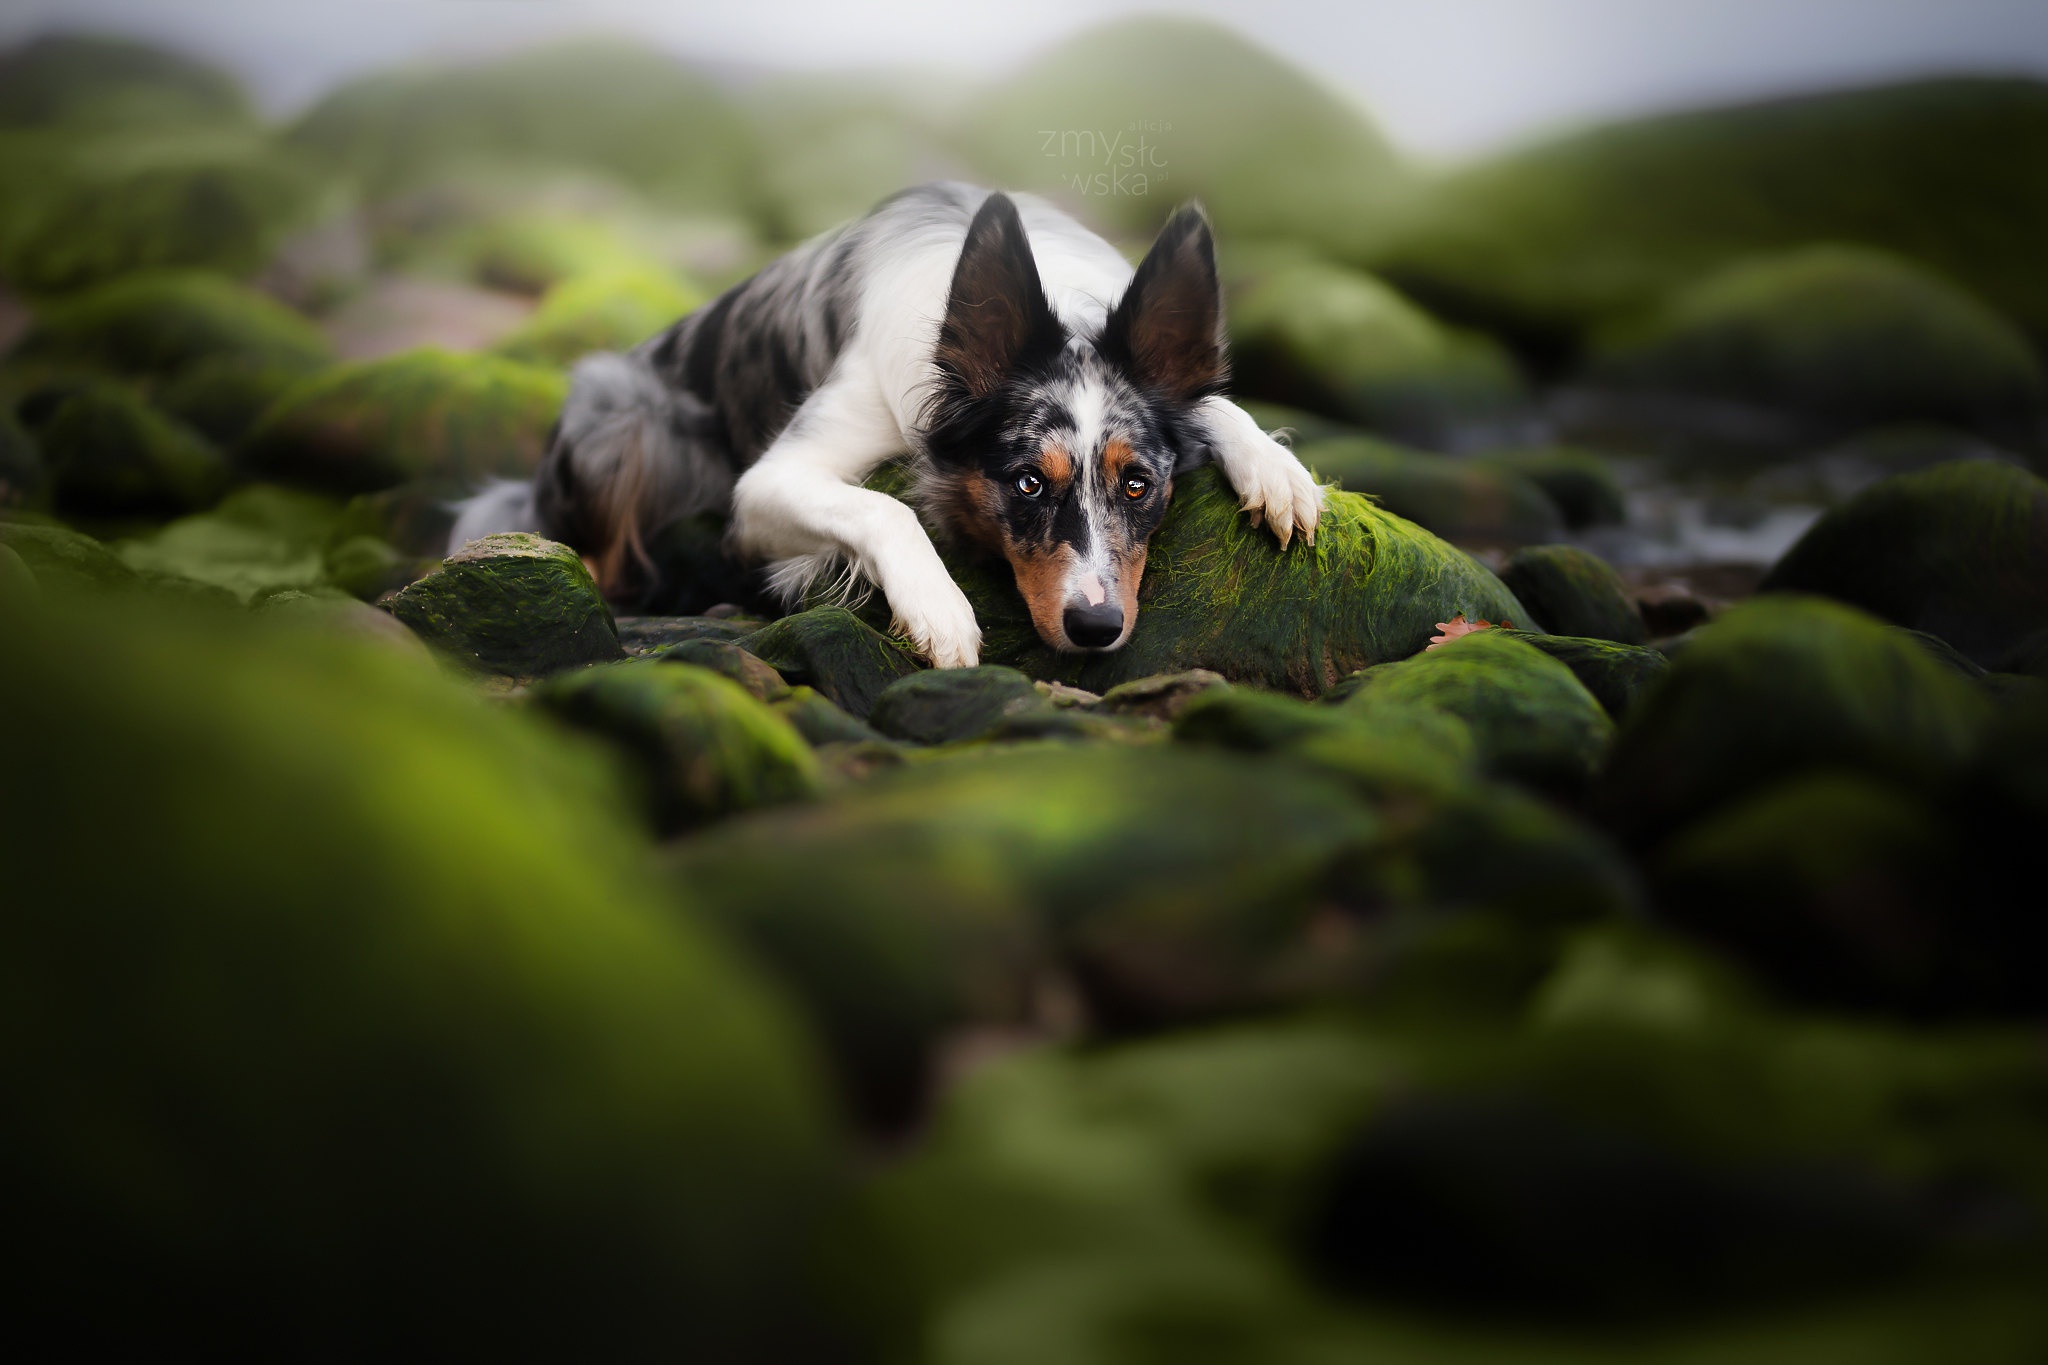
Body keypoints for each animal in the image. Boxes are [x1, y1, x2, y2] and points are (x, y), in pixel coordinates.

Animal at [444, 179, 1327, 671]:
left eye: (1138, 485)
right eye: (1027, 483)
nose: (1096, 626)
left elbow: (1215, 401)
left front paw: (1276, 471)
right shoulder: (767, 484)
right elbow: (885, 507)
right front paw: (940, 609)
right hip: (622, 419)